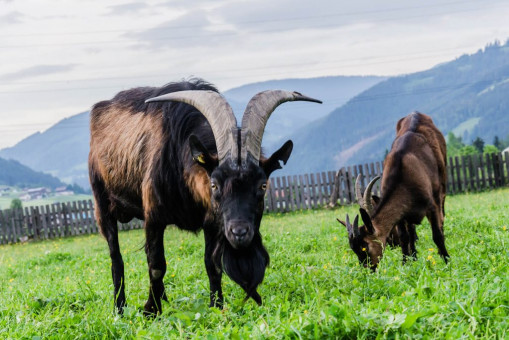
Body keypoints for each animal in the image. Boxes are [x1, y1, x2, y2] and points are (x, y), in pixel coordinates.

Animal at [87, 78, 318, 314]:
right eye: (214, 184)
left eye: (263, 185)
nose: (240, 233)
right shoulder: (153, 217)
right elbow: (156, 265)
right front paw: (151, 310)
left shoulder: (213, 222)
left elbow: (212, 265)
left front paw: (217, 306)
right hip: (102, 204)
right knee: (116, 258)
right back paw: (119, 307)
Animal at [338, 113, 448, 270]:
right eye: (353, 249)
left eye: (365, 246)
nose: (369, 269)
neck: (403, 180)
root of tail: (416, 113)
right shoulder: (402, 214)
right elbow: (404, 237)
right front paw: (406, 262)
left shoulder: (431, 206)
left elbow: (437, 234)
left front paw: (446, 260)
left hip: (442, 182)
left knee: (442, 214)